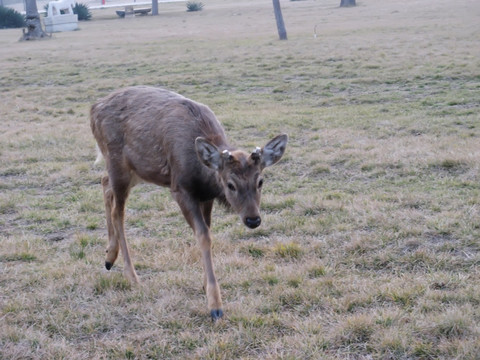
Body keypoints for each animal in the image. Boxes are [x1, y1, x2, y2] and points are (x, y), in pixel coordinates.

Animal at [90, 86, 286, 320]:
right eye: (230, 184)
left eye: (260, 181)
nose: (253, 219)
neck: (202, 172)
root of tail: (93, 109)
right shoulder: (180, 189)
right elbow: (203, 235)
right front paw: (215, 305)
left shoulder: (206, 196)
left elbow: (207, 231)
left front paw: (205, 284)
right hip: (117, 161)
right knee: (117, 213)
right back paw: (131, 275)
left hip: (137, 170)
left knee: (104, 182)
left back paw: (109, 257)